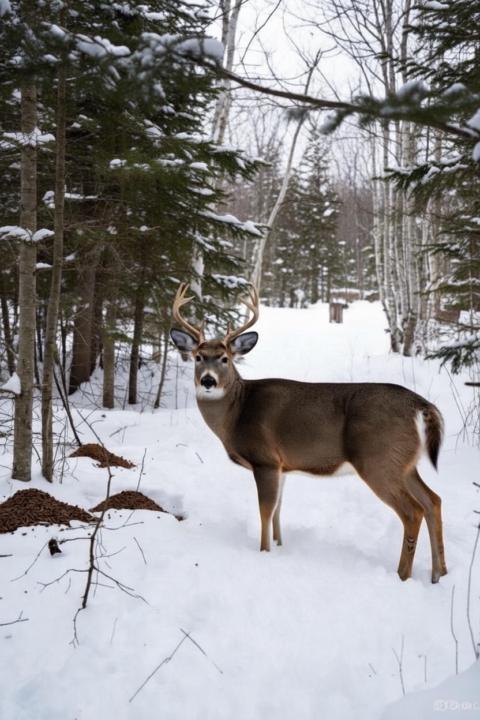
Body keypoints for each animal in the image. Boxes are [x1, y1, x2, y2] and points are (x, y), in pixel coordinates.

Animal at [170, 283, 447, 583]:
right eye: (198, 357)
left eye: (225, 358)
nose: (208, 380)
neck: (237, 413)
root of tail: (420, 404)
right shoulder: (282, 465)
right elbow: (278, 511)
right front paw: (279, 546)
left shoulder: (265, 459)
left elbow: (265, 511)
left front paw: (264, 552)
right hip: (405, 463)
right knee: (433, 500)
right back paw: (439, 573)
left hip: (378, 460)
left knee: (413, 511)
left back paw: (402, 575)